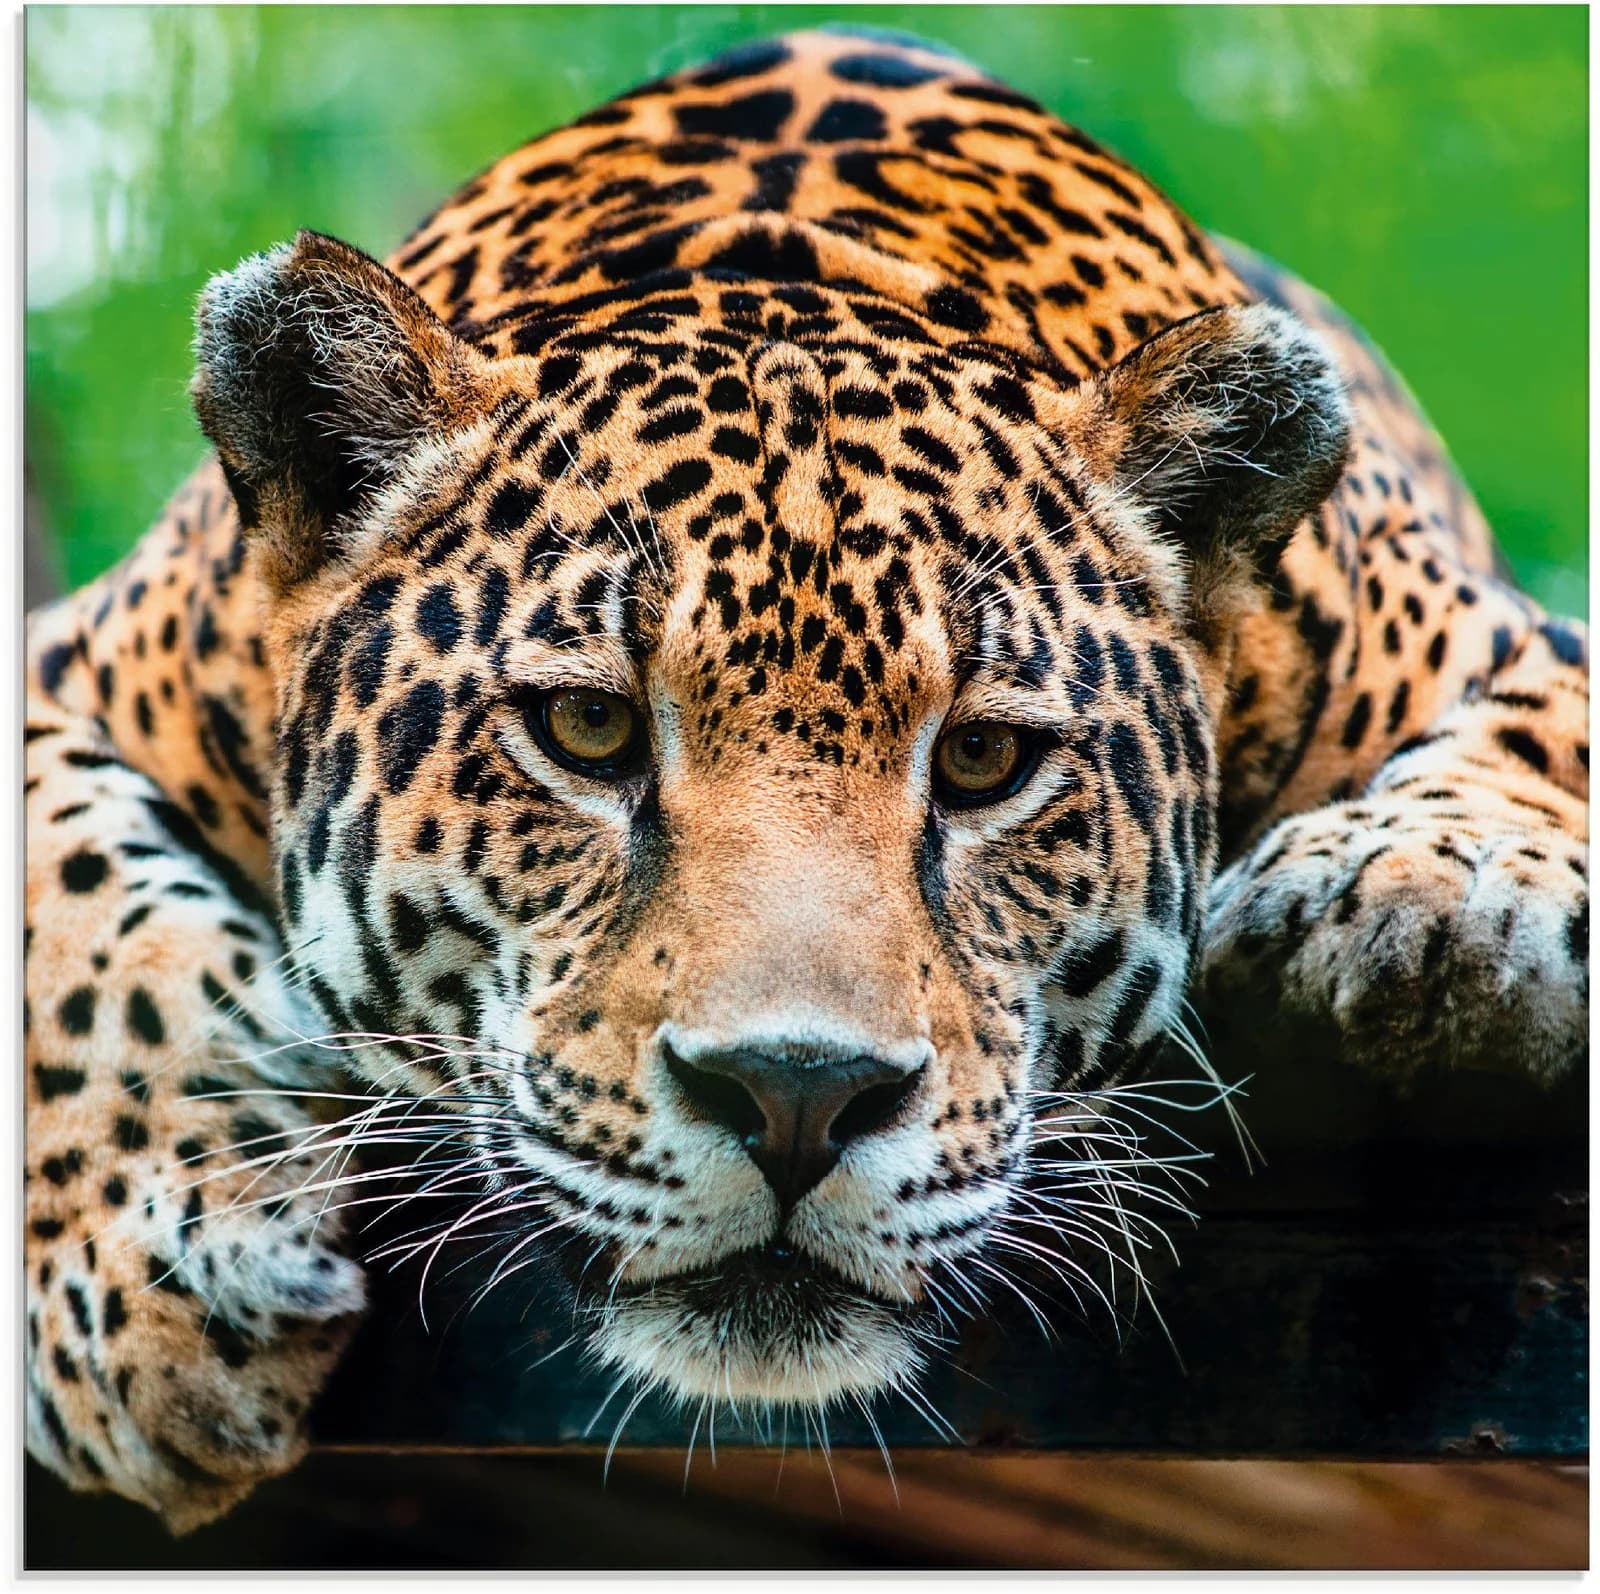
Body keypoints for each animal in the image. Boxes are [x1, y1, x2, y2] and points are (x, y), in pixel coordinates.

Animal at [24, 28, 1587, 1532]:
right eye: (587, 729)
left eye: (982, 758)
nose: (794, 1097)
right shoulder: (71, 663)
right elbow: (76, 908)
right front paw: (158, 1277)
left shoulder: (1506, 637)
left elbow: (1536, 742)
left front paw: (1420, 893)